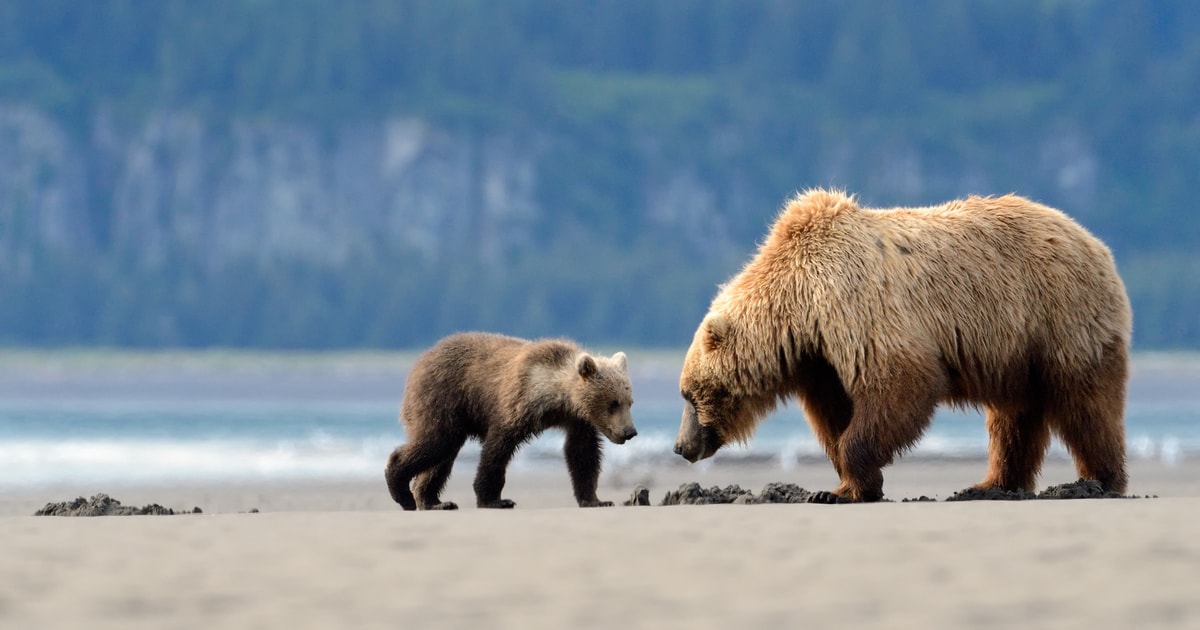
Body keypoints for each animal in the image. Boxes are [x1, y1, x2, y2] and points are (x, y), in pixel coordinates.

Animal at [385, 332, 637, 510]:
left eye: (629, 401)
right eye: (613, 403)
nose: (630, 432)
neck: (556, 397)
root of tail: (420, 360)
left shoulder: (577, 421)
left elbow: (582, 454)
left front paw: (595, 499)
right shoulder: (517, 403)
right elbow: (498, 449)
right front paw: (494, 499)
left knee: (442, 457)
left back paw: (434, 501)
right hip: (442, 399)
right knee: (436, 443)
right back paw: (402, 492)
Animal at [673, 189, 1131, 503]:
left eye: (689, 395)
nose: (681, 446)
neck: (801, 310)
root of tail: (1097, 244)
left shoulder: (856, 308)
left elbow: (901, 384)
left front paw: (849, 484)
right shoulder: (821, 360)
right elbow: (835, 415)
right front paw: (840, 487)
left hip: (1060, 318)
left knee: (1086, 404)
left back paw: (1100, 480)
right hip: (1016, 351)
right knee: (1014, 418)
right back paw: (992, 484)